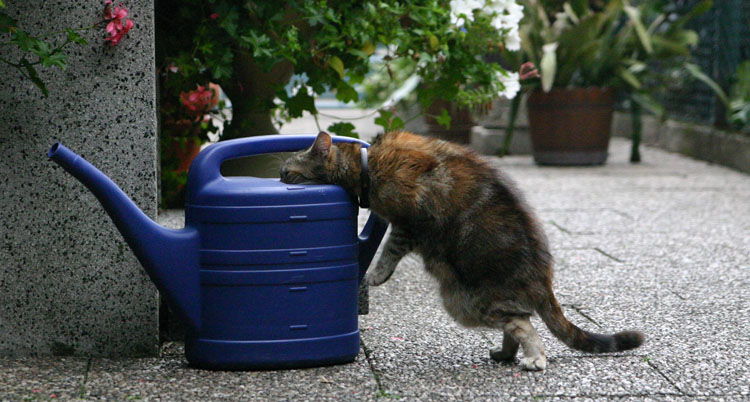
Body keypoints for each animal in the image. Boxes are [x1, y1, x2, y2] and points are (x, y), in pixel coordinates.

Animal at [280, 131, 644, 370]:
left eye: (287, 171)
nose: (278, 177)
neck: (368, 164)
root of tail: (543, 281)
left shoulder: (411, 221)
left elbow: (389, 250)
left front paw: (374, 275)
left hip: (463, 301)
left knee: (522, 324)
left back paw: (534, 359)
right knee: (518, 321)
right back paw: (505, 355)